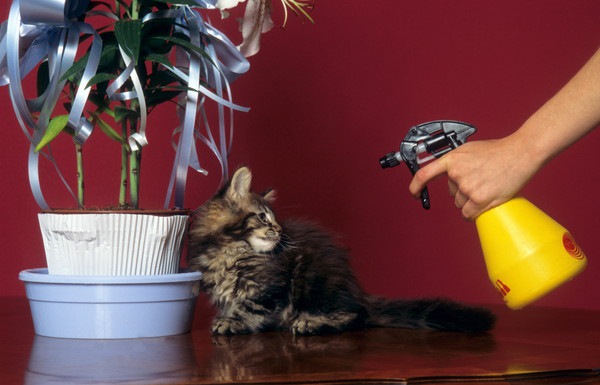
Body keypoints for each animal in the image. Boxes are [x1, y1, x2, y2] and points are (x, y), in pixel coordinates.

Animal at [186, 166, 492, 334]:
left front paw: (231, 322)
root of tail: (356, 291)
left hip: (316, 282)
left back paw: (310, 323)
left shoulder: (270, 287)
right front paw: (226, 317)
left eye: (275, 219)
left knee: (354, 316)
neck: (230, 252)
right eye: (263, 217)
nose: (280, 231)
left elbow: (252, 307)